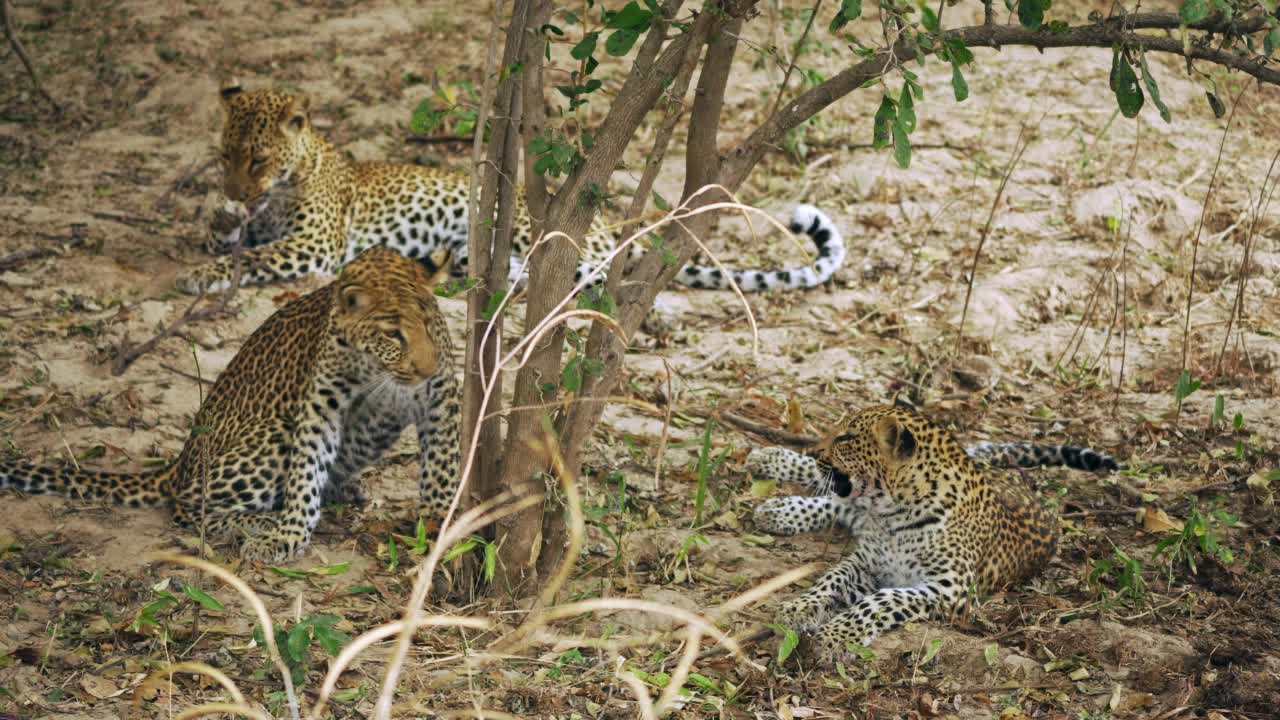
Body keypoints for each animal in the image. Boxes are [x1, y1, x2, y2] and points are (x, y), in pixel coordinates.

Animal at [0, 245, 460, 561]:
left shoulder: (442, 394)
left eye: (431, 323)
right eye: (393, 335)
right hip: (271, 435)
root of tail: (179, 462)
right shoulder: (319, 407)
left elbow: (444, 460)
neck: (373, 369)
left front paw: (439, 514)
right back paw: (261, 520)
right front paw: (289, 533)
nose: (426, 367)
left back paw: (343, 490)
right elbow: (306, 471)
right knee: (188, 506)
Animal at [172, 81, 849, 297]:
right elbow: (233, 239)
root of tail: (612, 230)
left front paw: (198, 276)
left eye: (258, 158)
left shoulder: (314, 245)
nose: (237, 189)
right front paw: (217, 225)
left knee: (586, 278)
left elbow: (257, 257)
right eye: (226, 156)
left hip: (536, 227)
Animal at [747, 399, 1116, 661]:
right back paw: (772, 471)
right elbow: (832, 578)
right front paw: (800, 606)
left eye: (847, 438)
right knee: (833, 498)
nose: (814, 449)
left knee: (837, 502)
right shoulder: (865, 561)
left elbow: (879, 601)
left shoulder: (949, 590)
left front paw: (836, 636)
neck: (893, 514)